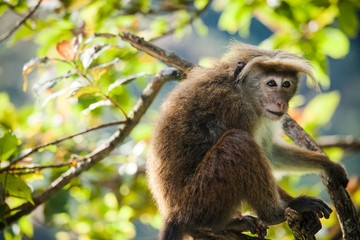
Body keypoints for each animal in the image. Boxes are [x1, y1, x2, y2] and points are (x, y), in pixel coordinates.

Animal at [146, 42, 348, 239]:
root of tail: (174, 214)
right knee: (238, 141)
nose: (281, 103)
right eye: (271, 83)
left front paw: (328, 165)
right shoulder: (235, 109)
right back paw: (276, 214)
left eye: (286, 84)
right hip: (199, 198)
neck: (241, 90)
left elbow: (269, 153)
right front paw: (296, 206)